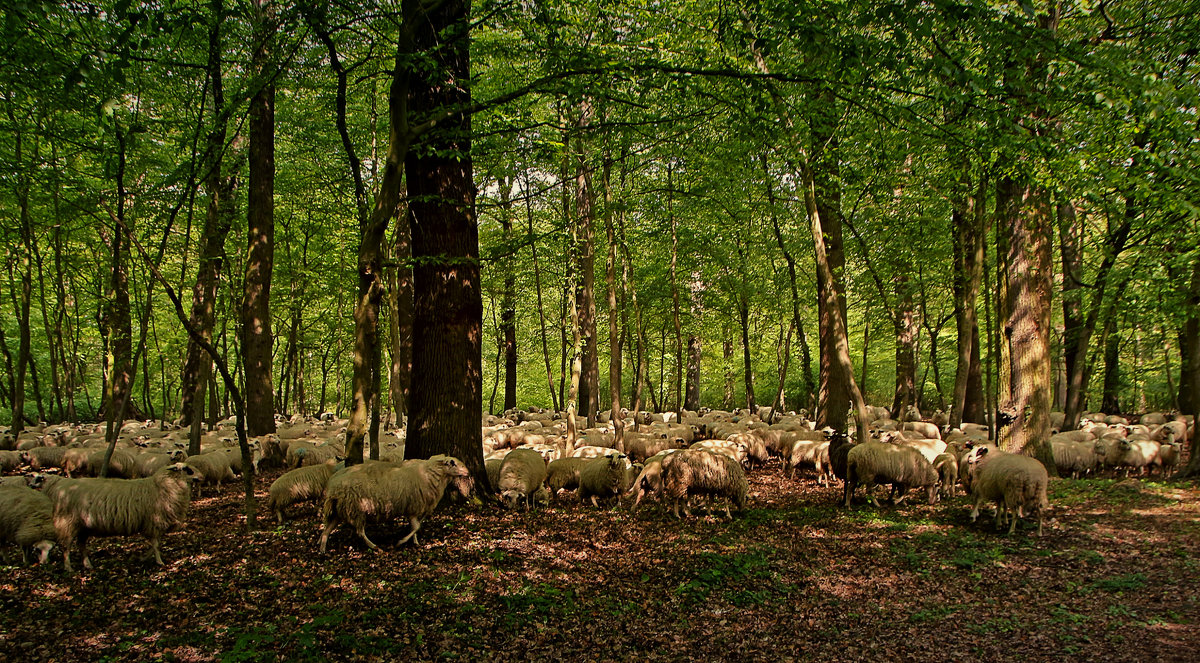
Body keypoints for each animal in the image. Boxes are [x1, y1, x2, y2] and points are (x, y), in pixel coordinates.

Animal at [51, 461, 194, 569]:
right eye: (188, 470)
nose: (199, 476)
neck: (162, 486)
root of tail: (60, 486)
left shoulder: (152, 525)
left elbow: (155, 544)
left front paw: (143, 557)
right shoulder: (154, 522)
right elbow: (155, 544)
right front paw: (159, 561)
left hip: (83, 526)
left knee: (81, 544)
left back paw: (87, 564)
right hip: (68, 522)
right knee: (66, 546)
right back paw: (68, 567)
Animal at [316, 456, 470, 554]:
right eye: (454, 463)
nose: (468, 472)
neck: (430, 474)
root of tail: (332, 486)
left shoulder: (414, 508)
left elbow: (416, 527)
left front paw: (415, 542)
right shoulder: (413, 507)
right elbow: (416, 527)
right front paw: (401, 542)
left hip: (340, 510)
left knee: (327, 530)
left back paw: (322, 549)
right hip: (356, 509)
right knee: (360, 532)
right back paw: (374, 547)